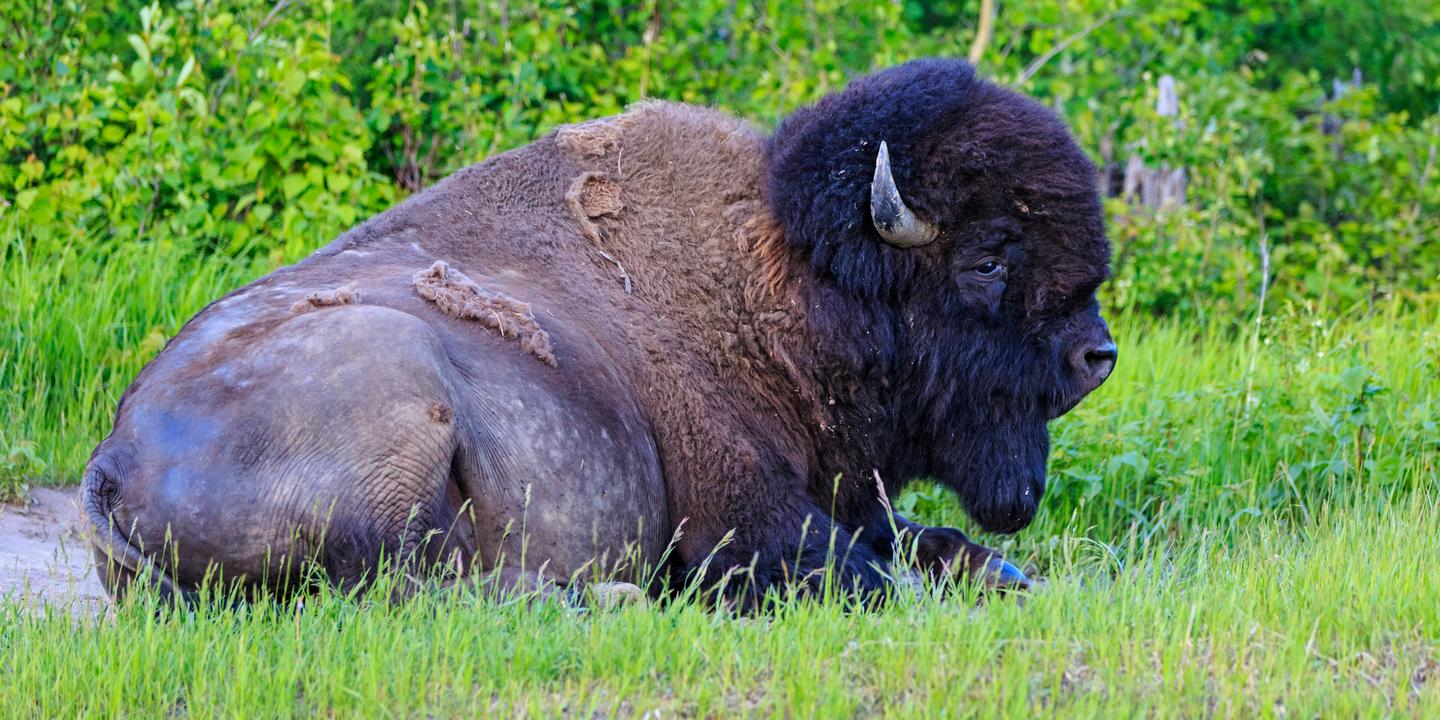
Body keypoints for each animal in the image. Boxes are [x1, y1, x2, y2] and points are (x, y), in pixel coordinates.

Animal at [83, 58, 1115, 606]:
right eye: (988, 259)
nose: (1095, 357)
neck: (778, 285)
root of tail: (111, 462)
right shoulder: (750, 516)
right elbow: (861, 573)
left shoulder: (855, 501)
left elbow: (932, 541)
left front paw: (1014, 573)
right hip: (398, 394)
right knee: (429, 588)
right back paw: (617, 595)